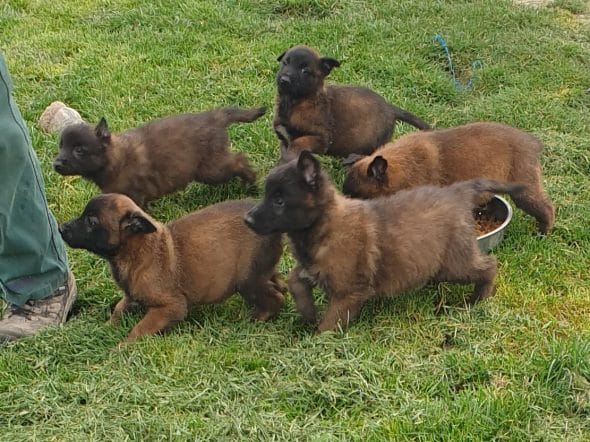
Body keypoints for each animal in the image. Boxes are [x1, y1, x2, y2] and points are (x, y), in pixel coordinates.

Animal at [54, 106, 268, 207]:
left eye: (79, 150)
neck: (114, 159)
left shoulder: (133, 196)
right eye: (61, 146)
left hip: (211, 169)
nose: (55, 164)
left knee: (239, 160)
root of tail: (215, 117)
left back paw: (251, 182)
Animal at [59, 194, 286, 342]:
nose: (61, 228)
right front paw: (104, 328)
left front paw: (122, 348)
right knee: (277, 282)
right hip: (261, 270)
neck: (136, 250)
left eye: (91, 221)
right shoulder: (131, 296)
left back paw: (253, 320)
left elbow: (139, 329)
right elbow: (118, 311)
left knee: (275, 299)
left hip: (248, 280)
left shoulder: (171, 307)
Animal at [245, 151, 528, 332]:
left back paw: (478, 299)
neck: (326, 226)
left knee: (489, 266)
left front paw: (317, 342)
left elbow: (328, 325)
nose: (247, 220)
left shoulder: (348, 293)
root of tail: (457, 192)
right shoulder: (312, 268)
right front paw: (307, 311)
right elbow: (295, 279)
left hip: (454, 263)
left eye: (279, 200)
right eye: (268, 195)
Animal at [272, 45, 430, 162]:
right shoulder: (284, 140)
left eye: (305, 70)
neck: (295, 102)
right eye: (285, 63)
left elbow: (298, 143)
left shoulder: (321, 138)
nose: (284, 80)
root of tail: (390, 108)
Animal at [342, 119, 556, 233]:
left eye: (357, 196)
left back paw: (542, 233)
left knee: (546, 208)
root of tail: (533, 143)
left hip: (524, 190)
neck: (406, 164)